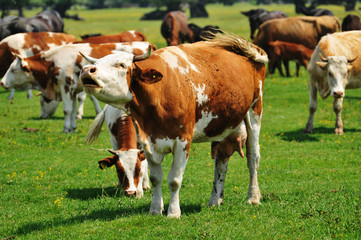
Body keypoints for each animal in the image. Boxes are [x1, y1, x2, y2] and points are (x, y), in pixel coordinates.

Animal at [0, 41, 152, 131]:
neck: (54, 61)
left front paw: (66, 128)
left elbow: (67, 110)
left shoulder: (65, 87)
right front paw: (73, 127)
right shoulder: (73, 90)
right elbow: (73, 109)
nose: (2, 82)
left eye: (13, 70)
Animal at [80, 32, 268, 218]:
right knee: (221, 162)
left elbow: (175, 180)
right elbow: (156, 178)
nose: (87, 70)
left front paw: (173, 212)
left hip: (254, 114)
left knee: (253, 157)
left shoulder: (182, 142)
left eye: (121, 65)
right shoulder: (148, 141)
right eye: (95, 63)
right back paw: (215, 200)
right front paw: (156, 209)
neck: (159, 92)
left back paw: (253, 197)